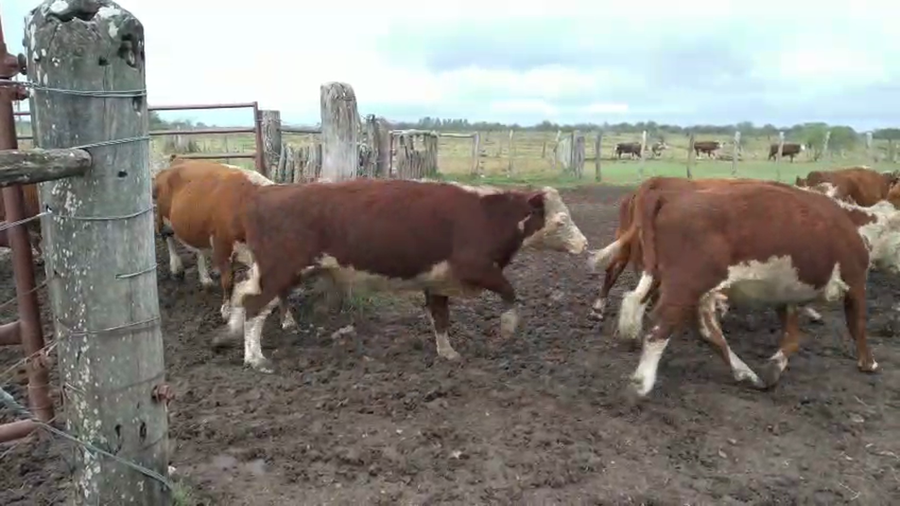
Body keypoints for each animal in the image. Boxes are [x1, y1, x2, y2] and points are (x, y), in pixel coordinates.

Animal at [152, 159, 296, 329]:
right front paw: (226, 310)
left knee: (199, 251)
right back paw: (176, 268)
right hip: (162, 219)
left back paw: (205, 279)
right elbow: (228, 280)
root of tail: (175, 163)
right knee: (169, 239)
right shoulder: (221, 244)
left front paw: (287, 318)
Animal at [217, 178, 589, 372]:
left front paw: (447, 352)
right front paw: (508, 327)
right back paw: (255, 358)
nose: (584, 244)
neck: (486, 215)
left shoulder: (438, 281)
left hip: (269, 270)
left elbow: (440, 318)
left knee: (242, 295)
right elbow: (511, 292)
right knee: (254, 306)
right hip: (280, 270)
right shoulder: (476, 268)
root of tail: (267, 192)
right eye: (560, 221)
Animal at [617, 182, 885, 398]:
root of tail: (669, 197)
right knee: (661, 326)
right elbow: (858, 325)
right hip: (686, 284)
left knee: (706, 330)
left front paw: (773, 368)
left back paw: (745, 373)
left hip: (691, 286)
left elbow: (792, 337)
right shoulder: (856, 280)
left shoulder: (785, 295)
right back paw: (642, 381)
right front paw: (868, 362)